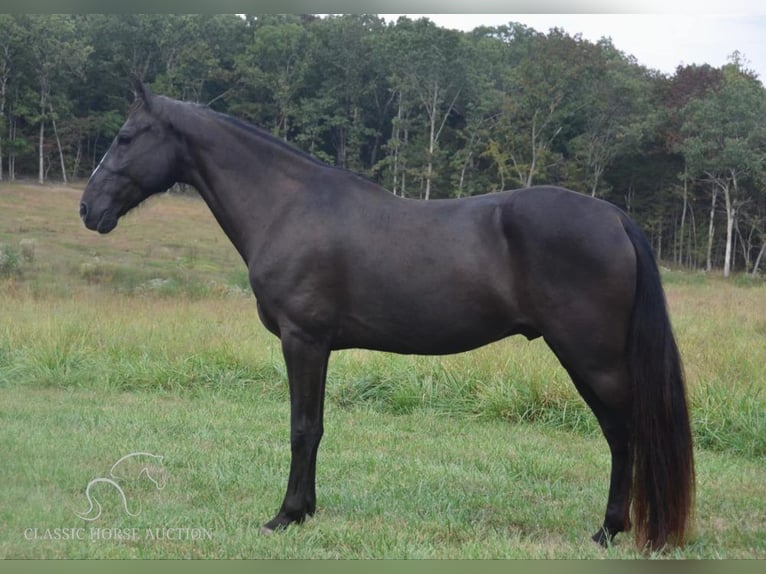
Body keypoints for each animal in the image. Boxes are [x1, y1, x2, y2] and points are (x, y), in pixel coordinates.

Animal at [78, 81, 696, 552]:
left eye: (126, 137)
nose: (88, 209)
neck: (288, 206)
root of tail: (614, 217)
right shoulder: (319, 345)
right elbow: (317, 426)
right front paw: (307, 510)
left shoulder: (303, 340)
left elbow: (302, 427)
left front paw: (285, 515)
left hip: (590, 356)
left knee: (623, 433)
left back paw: (610, 531)